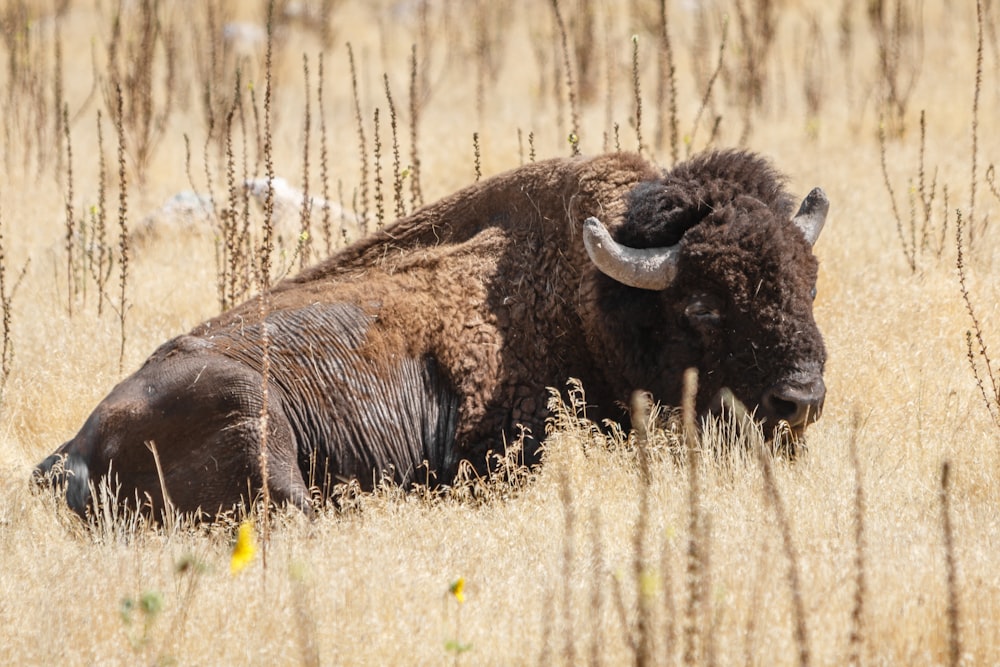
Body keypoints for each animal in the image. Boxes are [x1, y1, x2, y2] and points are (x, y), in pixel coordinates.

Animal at [35, 149, 828, 520]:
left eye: (808, 283)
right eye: (702, 306)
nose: (801, 399)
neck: (589, 295)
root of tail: (78, 445)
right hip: (247, 407)